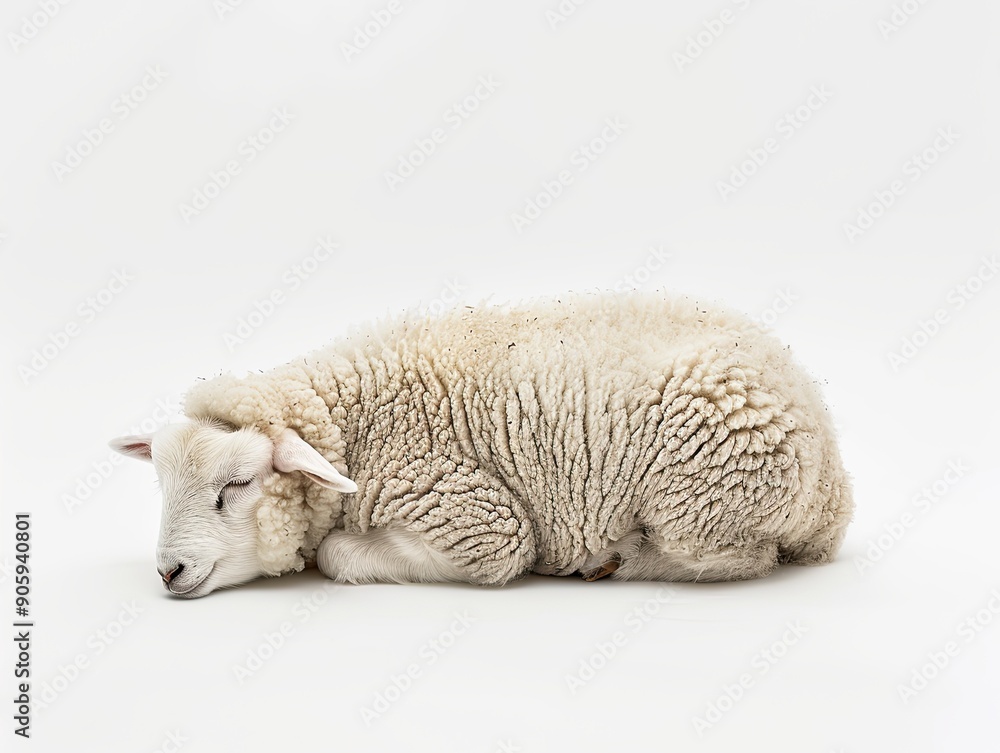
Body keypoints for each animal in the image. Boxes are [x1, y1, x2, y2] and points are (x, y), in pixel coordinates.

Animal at [109, 292, 853, 598]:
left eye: (234, 487)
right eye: (162, 485)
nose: (168, 572)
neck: (353, 422)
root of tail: (832, 491)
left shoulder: (476, 519)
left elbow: (340, 553)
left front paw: (337, 548)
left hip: (701, 505)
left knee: (742, 558)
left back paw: (619, 560)